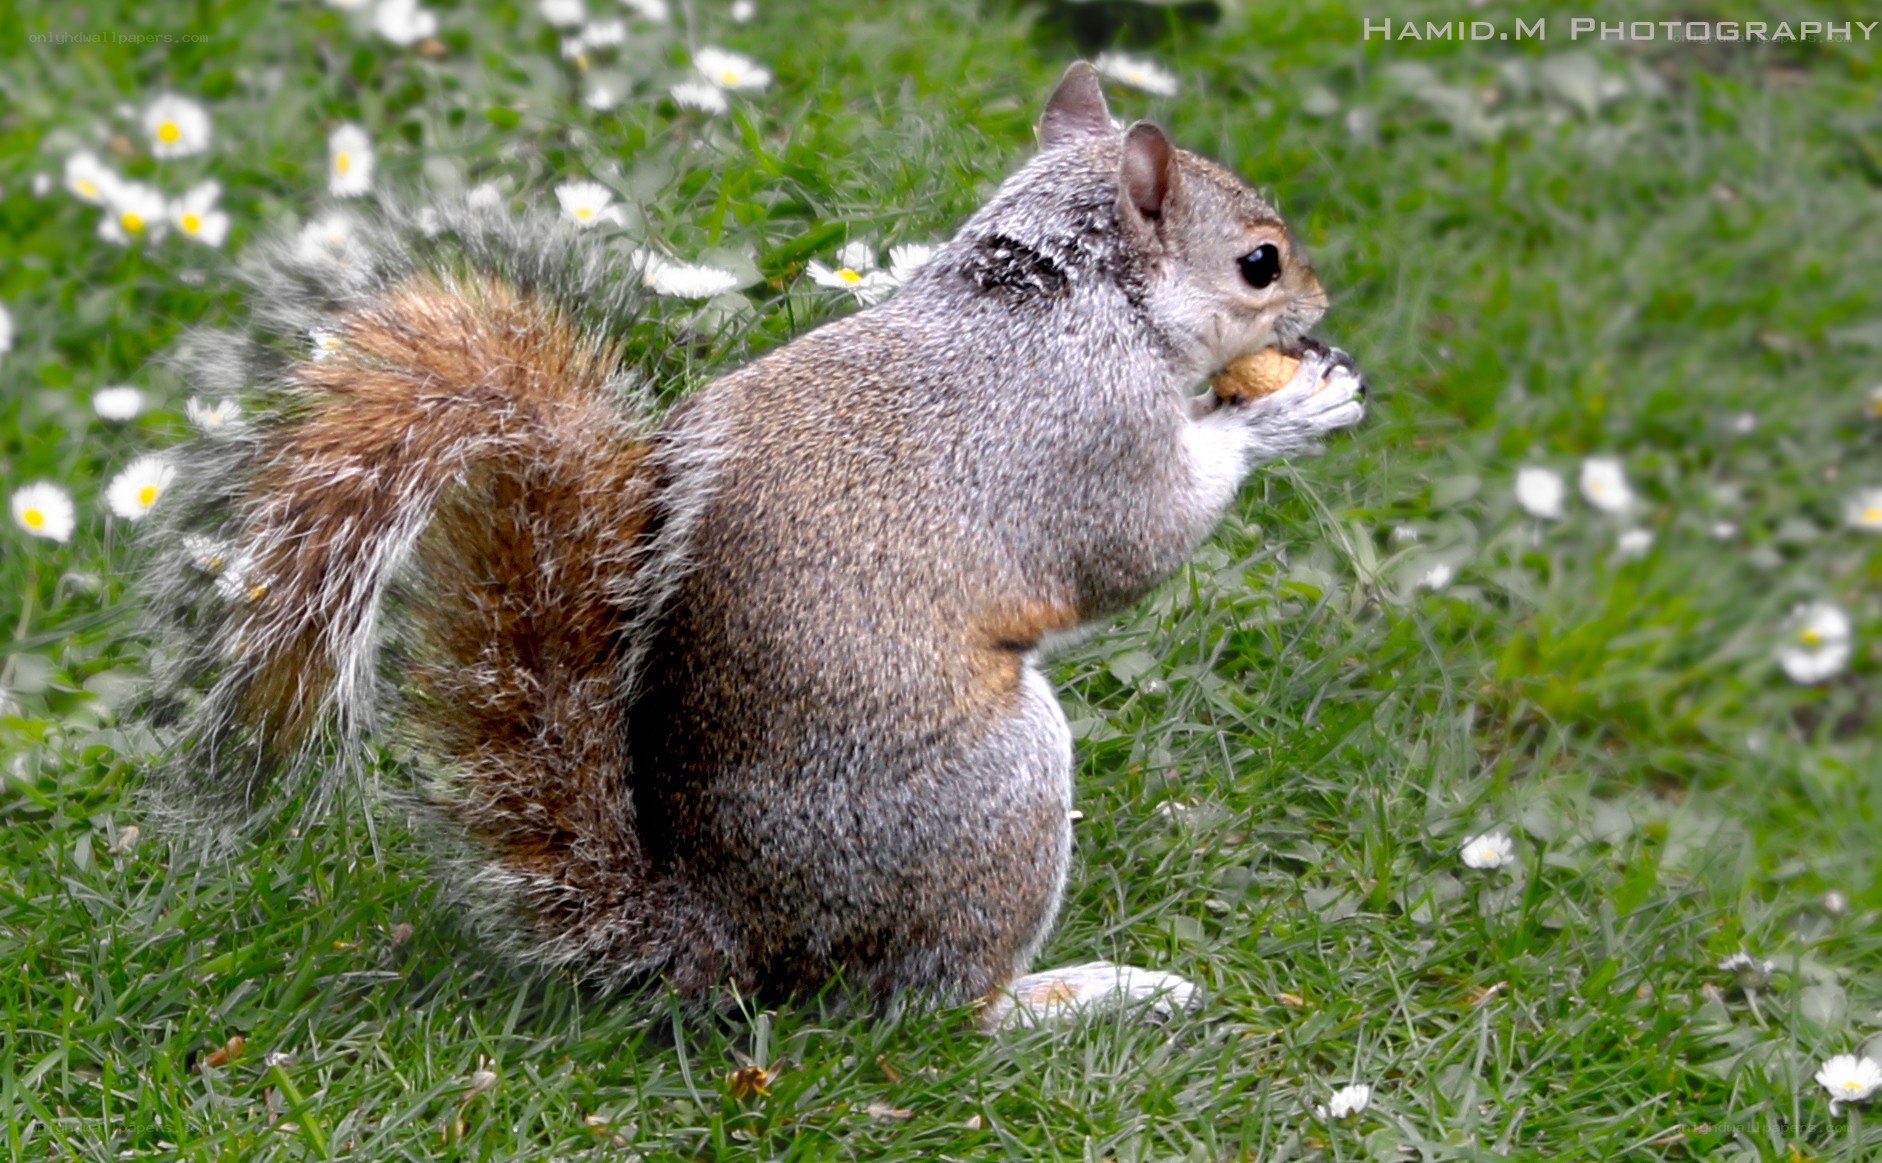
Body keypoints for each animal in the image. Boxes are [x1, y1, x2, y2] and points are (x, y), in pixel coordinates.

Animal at [135, 62, 1366, 1029]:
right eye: (1259, 261)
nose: (1319, 299)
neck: (1063, 296)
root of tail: (732, 933)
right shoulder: (1090, 434)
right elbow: (1140, 539)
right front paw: (1286, 411)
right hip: (997, 796)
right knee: (935, 1006)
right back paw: (1081, 993)